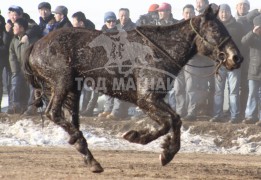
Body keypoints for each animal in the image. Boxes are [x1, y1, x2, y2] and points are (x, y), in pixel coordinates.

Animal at [22, 5, 242, 173]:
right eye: (215, 30)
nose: (236, 58)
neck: (160, 50)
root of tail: (35, 46)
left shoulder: (154, 100)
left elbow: (175, 120)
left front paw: (166, 152)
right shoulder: (146, 99)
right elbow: (168, 122)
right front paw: (142, 139)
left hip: (73, 90)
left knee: (70, 120)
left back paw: (90, 158)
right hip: (62, 82)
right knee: (53, 113)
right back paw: (79, 141)